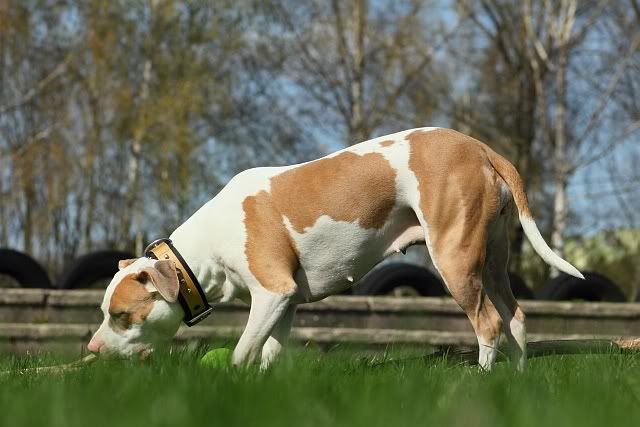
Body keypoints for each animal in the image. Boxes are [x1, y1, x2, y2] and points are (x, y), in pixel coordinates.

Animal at [87, 127, 583, 370]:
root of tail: (481, 148)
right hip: (492, 262)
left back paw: (478, 383)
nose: (91, 348)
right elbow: (269, 353)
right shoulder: (283, 305)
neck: (201, 252)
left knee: (489, 324)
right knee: (515, 319)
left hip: (456, 261)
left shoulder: (272, 293)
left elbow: (243, 351)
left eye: (122, 316)